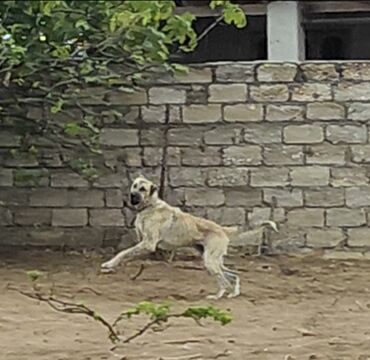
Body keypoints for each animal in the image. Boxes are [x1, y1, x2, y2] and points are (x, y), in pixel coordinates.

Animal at [101, 176, 278, 300]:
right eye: (135, 186)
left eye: (143, 189)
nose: (132, 195)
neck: (150, 206)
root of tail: (221, 229)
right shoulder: (143, 243)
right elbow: (127, 253)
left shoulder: (148, 243)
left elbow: (123, 253)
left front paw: (110, 263)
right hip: (213, 261)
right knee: (233, 274)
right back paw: (234, 293)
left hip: (210, 261)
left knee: (224, 281)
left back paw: (217, 296)